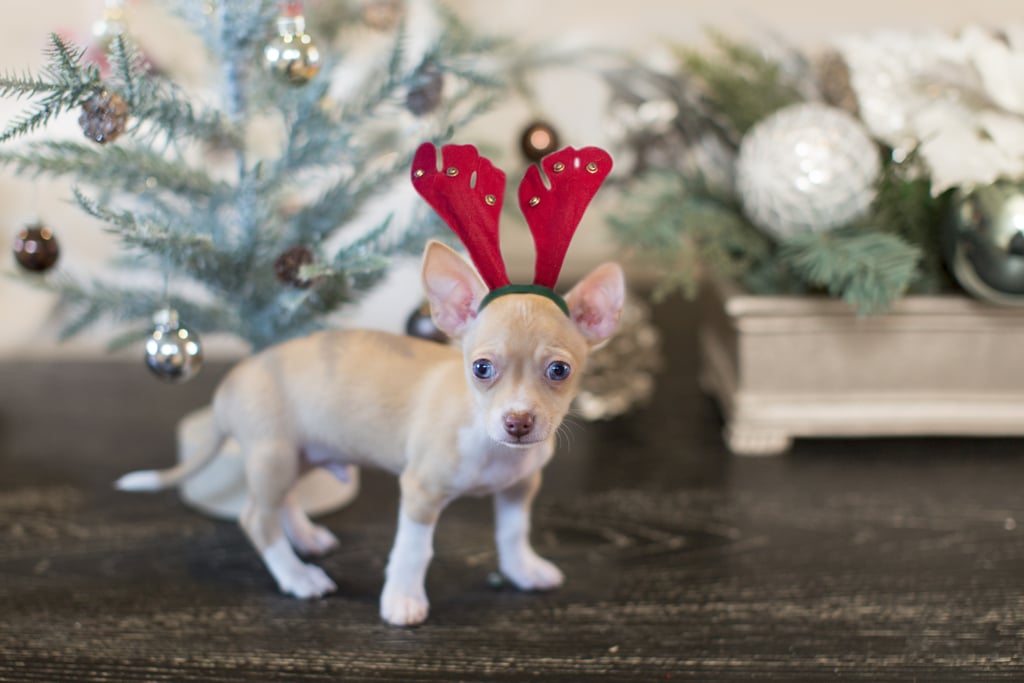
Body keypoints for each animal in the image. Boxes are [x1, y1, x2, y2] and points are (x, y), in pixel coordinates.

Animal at [117, 239, 622, 626]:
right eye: (481, 368)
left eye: (559, 371)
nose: (518, 422)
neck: (489, 442)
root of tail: (229, 384)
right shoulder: (420, 493)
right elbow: (413, 551)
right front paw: (403, 600)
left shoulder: (521, 486)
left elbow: (513, 533)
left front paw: (521, 570)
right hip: (273, 455)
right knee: (256, 518)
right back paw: (297, 577)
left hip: (299, 454)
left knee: (280, 503)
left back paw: (306, 537)